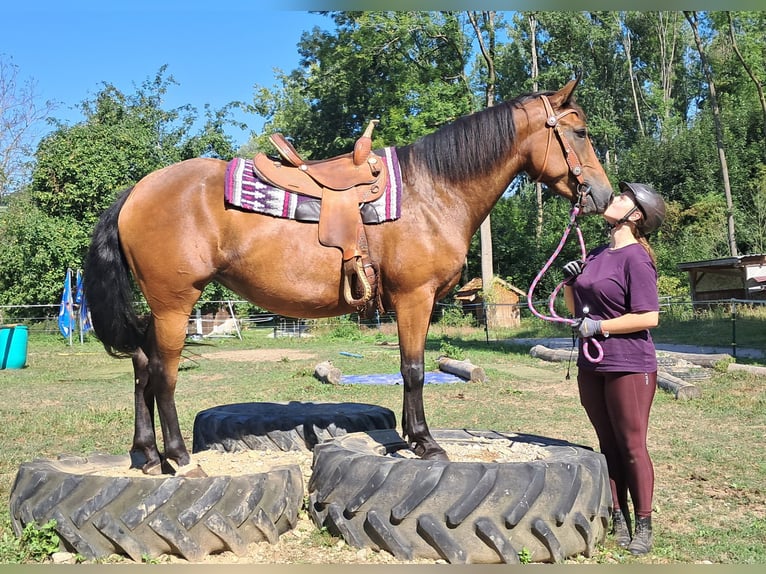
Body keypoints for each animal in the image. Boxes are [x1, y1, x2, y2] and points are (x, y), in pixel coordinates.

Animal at [84, 80, 612, 476]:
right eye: (580, 131)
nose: (603, 196)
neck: (433, 190)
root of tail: (136, 191)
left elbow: (408, 369)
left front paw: (408, 438)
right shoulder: (415, 298)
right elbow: (414, 370)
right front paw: (425, 442)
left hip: (160, 307)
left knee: (141, 365)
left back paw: (145, 454)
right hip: (174, 303)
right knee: (163, 374)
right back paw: (178, 458)